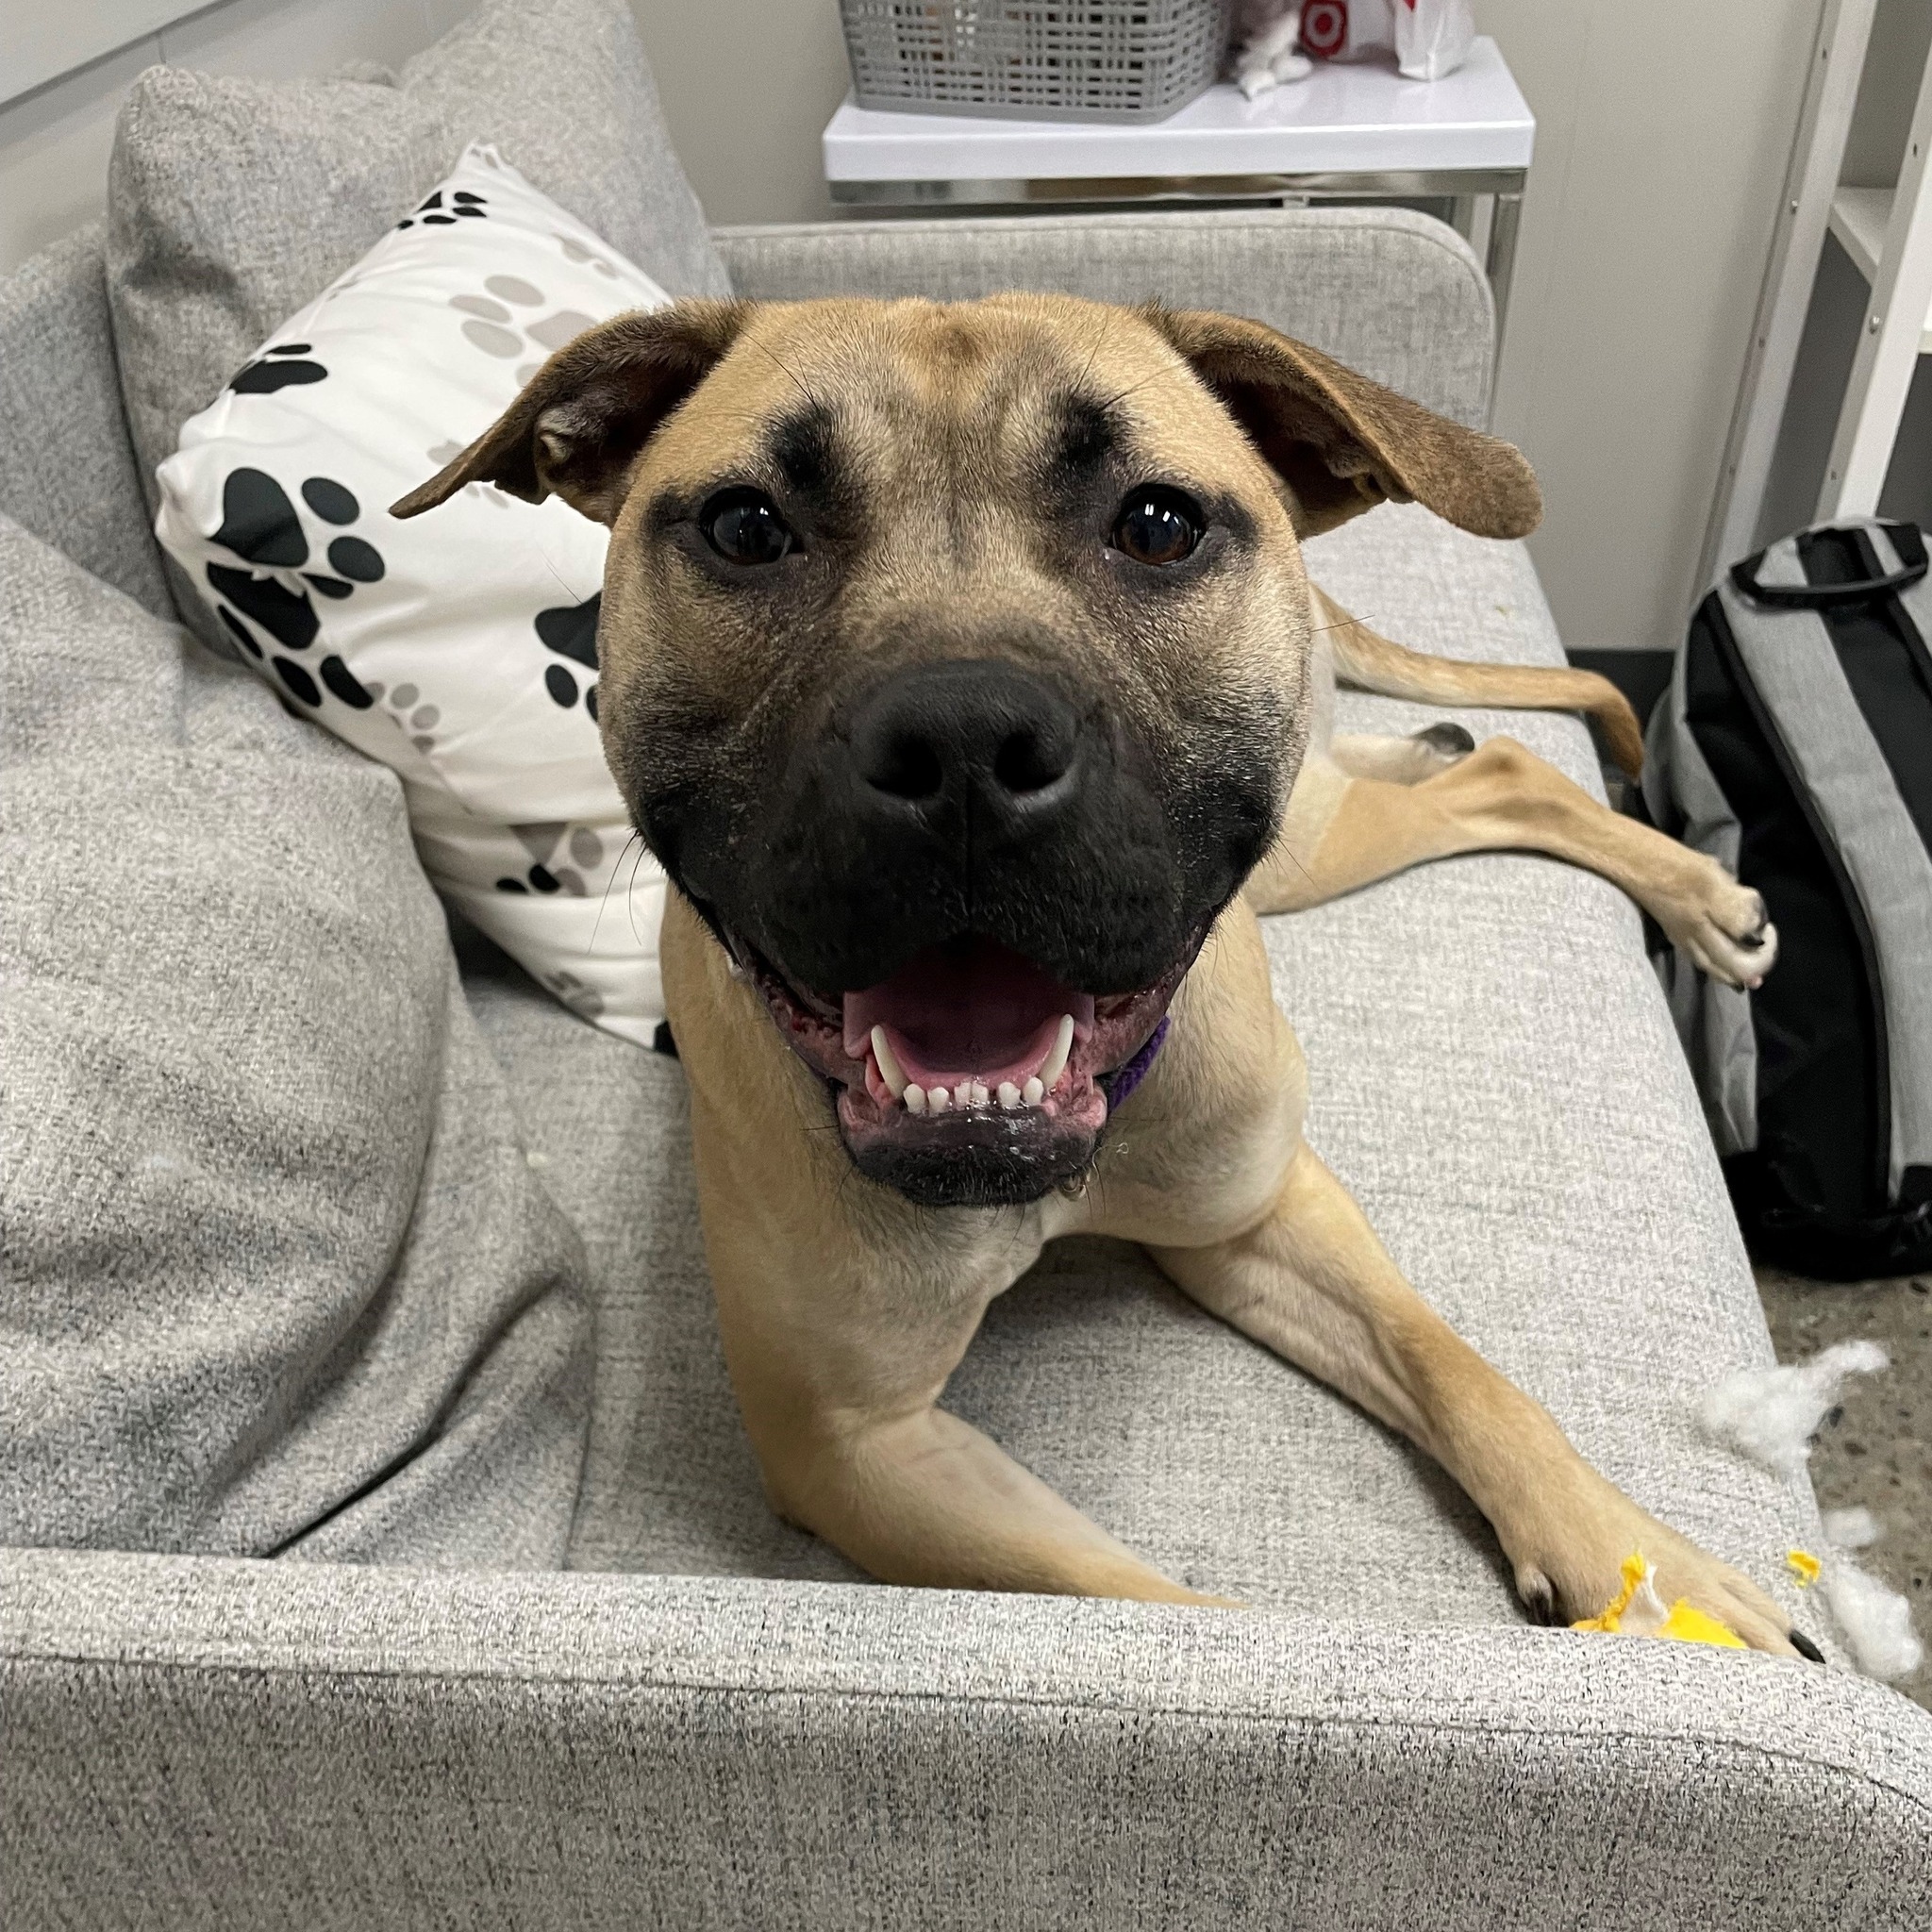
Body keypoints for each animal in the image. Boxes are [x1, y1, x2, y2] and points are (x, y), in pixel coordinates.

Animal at [399, 293, 1800, 1654]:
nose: (963, 740)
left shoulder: (1258, 1211)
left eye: (1159, 525)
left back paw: (1684, 888)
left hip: (1300, 853)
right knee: (1482, 770)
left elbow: (1457, 1365)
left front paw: (1640, 1560)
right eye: (746, 527)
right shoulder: (857, 1450)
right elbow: (1156, 1611)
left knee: (1503, 771)